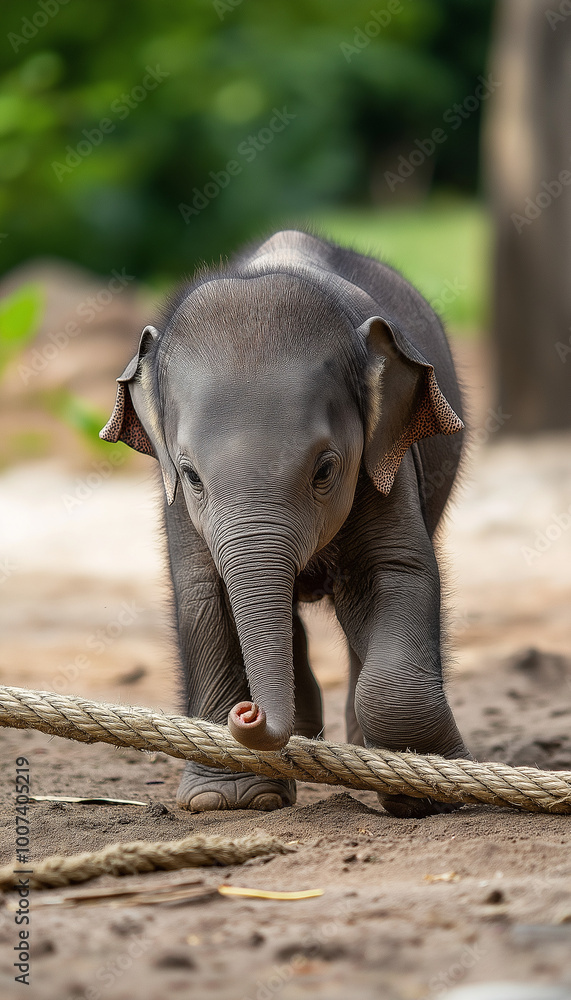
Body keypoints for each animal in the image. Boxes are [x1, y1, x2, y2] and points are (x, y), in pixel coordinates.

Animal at [100, 229, 470, 818]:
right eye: (192, 475)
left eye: (325, 470)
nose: (250, 715)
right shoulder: (174, 500)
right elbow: (206, 595)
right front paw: (226, 801)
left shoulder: (385, 466)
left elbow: (393, 573)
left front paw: (430, 791)